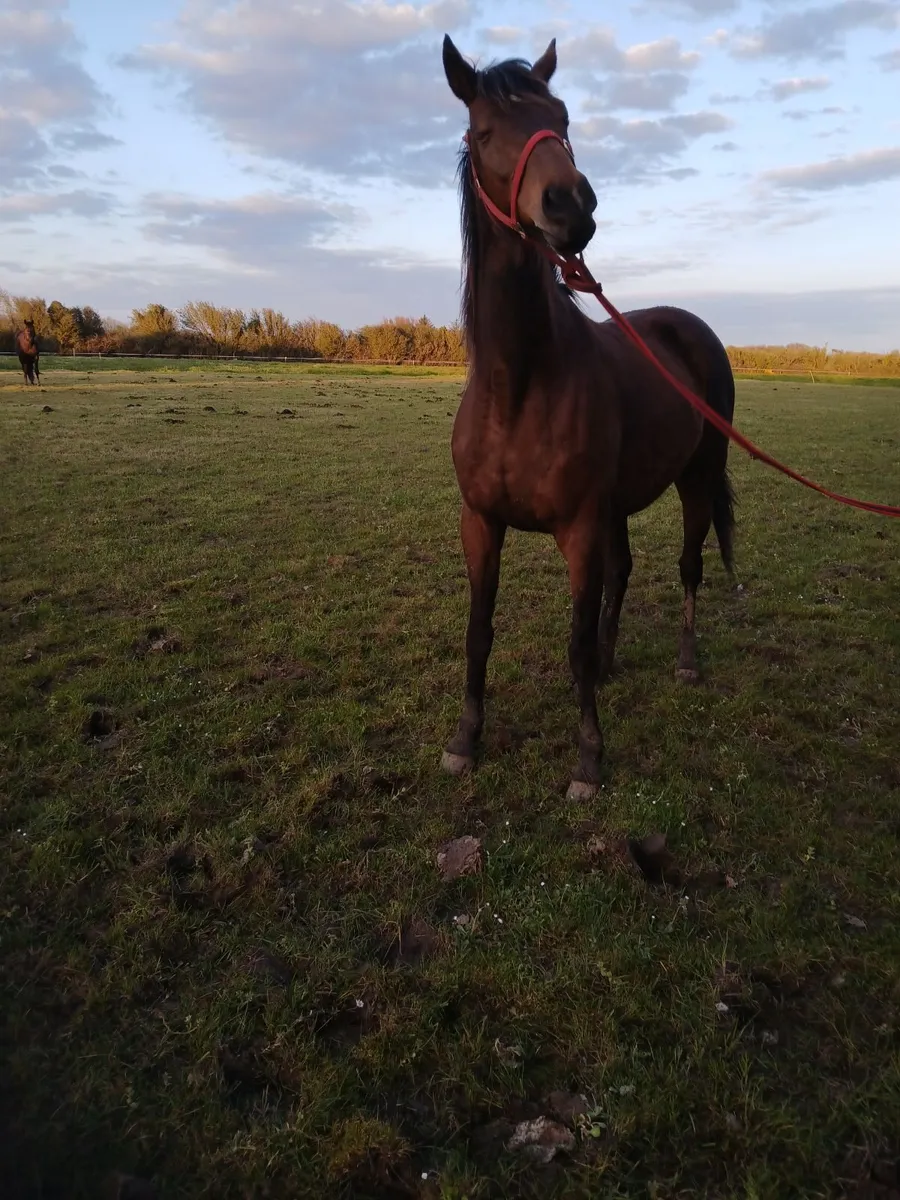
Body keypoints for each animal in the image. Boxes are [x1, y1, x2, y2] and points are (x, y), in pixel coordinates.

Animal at [439, 36, 736, 800]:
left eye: (563, 119)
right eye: (486, 130)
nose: (571, 204)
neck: (518, 387)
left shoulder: (577, 527)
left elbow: (571, 639)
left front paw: (588, 758)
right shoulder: (481, 522)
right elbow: (478, 630)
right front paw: (465, 740)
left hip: (696, 479)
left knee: (689, 565)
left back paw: (686, 661)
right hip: (618, 504)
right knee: (625, 571)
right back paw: (611, 660)